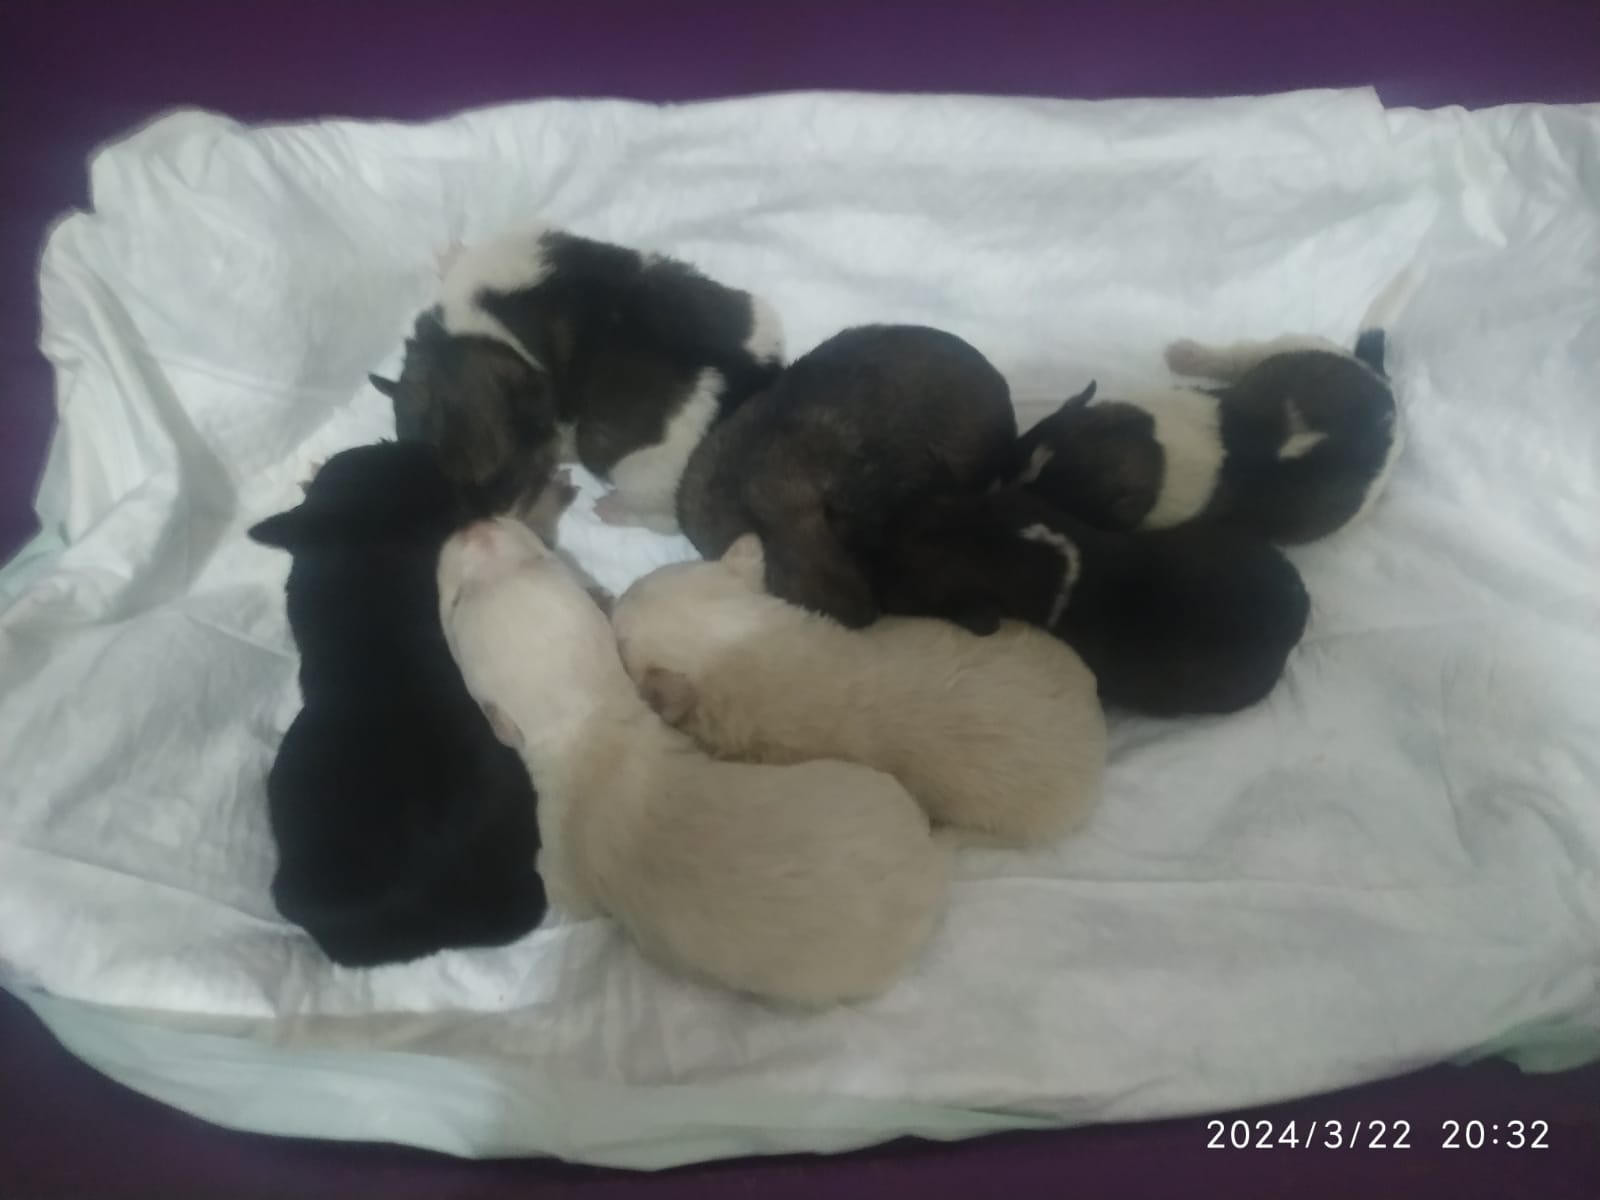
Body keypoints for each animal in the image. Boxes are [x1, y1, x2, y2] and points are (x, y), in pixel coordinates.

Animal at [369, 225, 784, 533]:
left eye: (517, 476)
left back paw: (614, 509)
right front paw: (451, 256)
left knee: (659, 519)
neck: (482, 331)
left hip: (645, 477)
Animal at [438, 517, 951, 1007]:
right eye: (542, 558)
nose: (474, 527)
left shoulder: (562, 850)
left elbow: (557, 887)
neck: (590, 720)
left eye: (452, 603)